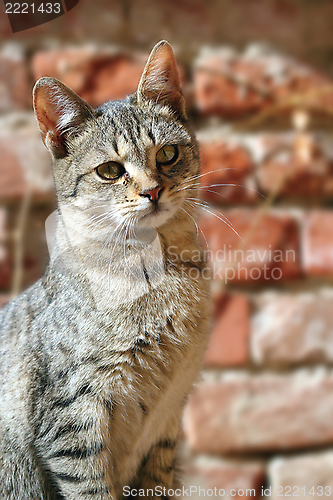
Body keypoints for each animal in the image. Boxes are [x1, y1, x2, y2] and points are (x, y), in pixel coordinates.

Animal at [0, 40, 210, 500]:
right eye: (110, 170)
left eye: (167, 153)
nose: (152, 191)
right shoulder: (72, 418)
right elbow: (91, 488)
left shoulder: (169, 421)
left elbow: (157, 482)